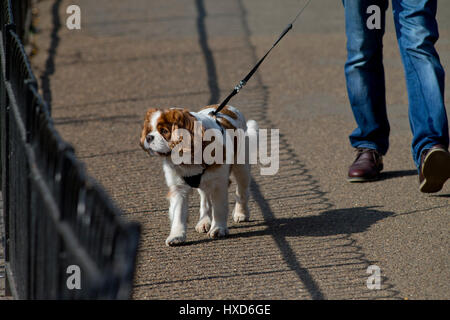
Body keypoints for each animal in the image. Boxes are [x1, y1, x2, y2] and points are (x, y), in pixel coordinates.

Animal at [141, 104, 260, 245]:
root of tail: (228, 106)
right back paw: (204, 222)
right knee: (205, 200)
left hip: (242, 169)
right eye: (149, 130)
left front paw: (218, 229)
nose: (149, 137)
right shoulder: (178, 188)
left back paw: (241, 213)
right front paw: (176, 236)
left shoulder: (219, 184)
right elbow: (178, 213)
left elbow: (219, 208)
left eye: (164, 131)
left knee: (242, 192)